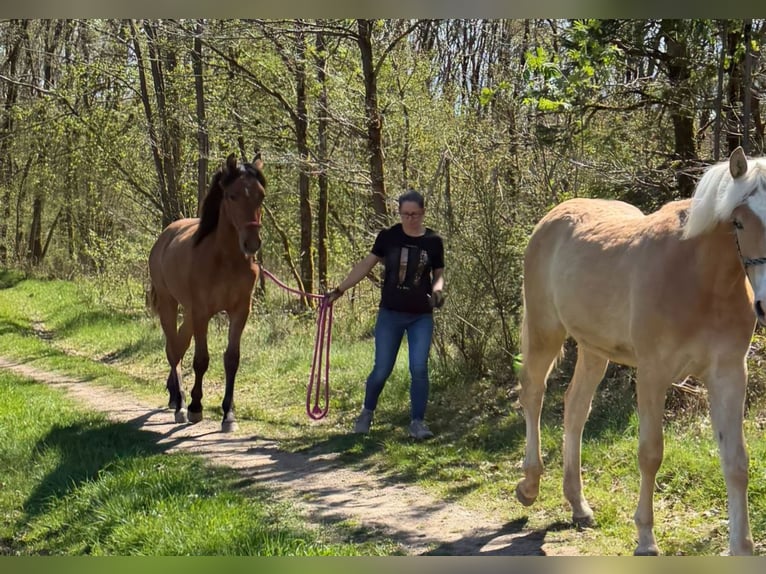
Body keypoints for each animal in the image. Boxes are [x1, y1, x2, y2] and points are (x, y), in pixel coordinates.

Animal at [148, 152, 266, 432]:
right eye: (232, 195)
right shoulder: (202, 312)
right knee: (173, 349)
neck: (225, 259)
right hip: (170, 305)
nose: (252, 243)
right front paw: (195, 407)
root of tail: (165, 236)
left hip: (189, 314)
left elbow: (232, 359)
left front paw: (229, 414)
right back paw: (180, 403)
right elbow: (201, 359)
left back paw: (173, 395)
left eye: (261, 195)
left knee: (179, 345)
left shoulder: (240, 311)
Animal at [516, 147, 766, 555]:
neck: (699, 278)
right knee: (533, 396)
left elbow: (736, 462)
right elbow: (651, 454)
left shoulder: (729, 374)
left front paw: (741, 547)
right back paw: (529, 485)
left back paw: (579, 505)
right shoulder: (652, 374)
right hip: (544, 333)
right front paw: (646, 539)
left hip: (593, 350)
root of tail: (551, 219)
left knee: (575, 409)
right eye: (739, 223)